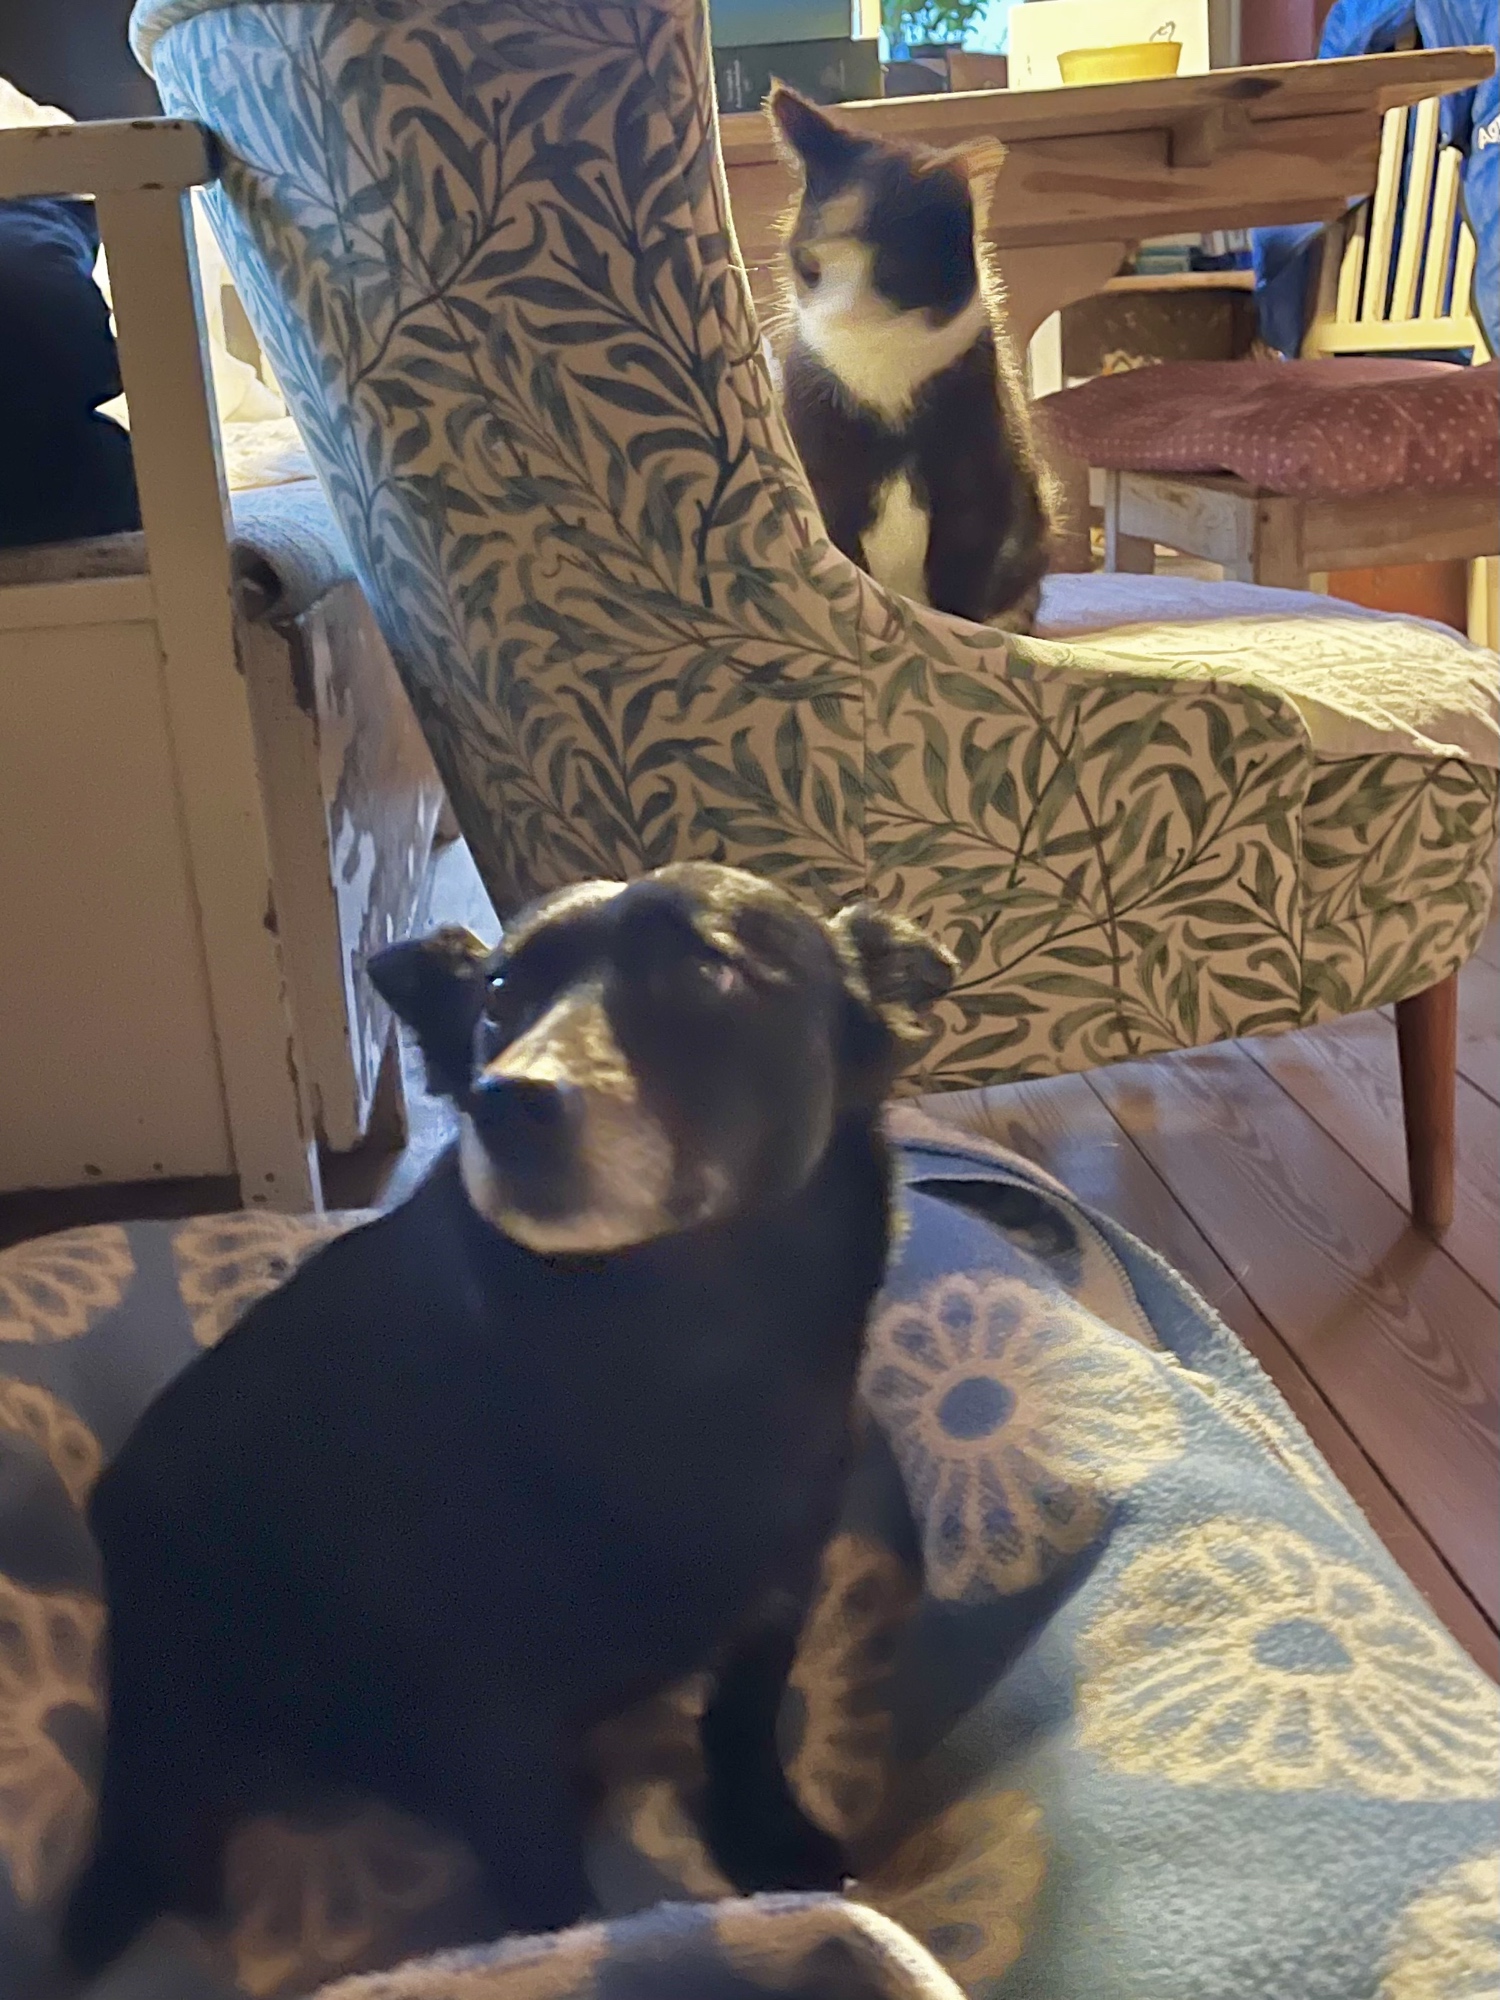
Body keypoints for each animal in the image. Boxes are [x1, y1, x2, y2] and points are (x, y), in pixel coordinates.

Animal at [63, 863, 955, 1974]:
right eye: (497, 1001)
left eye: (706, 970)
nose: (506, 1101)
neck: (676, 1351)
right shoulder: (485, 1700)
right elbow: (540, 1872)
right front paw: (578, 1955)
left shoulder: (778, 1590)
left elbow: (744, 1720)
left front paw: (765, 1834)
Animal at [767, 85, 1052, 633]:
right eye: (809, 264)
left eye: (892, 267)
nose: (842, 317)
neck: (882, 372)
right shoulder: (822, 468)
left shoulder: (980, 481)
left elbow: (962, 587)